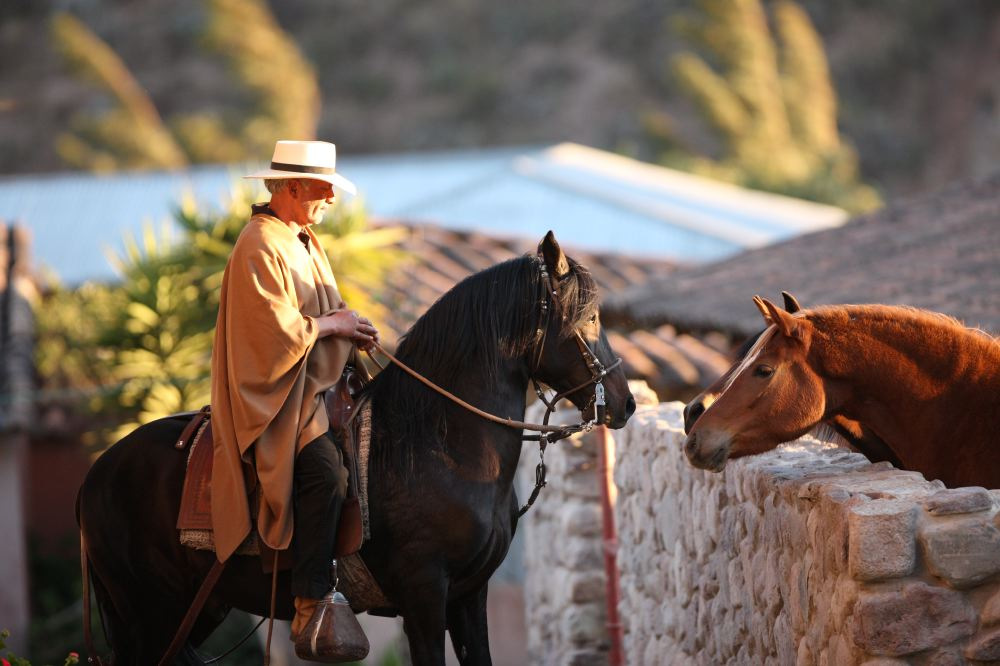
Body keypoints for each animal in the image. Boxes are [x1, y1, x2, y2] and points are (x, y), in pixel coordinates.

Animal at [82, 231, 636, 660]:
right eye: (589, 319)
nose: (625, 403)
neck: (438, 443)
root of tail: (96, 473)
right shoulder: (424, 599)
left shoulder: (468, 598)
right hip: (148, 612)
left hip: (194, 609)